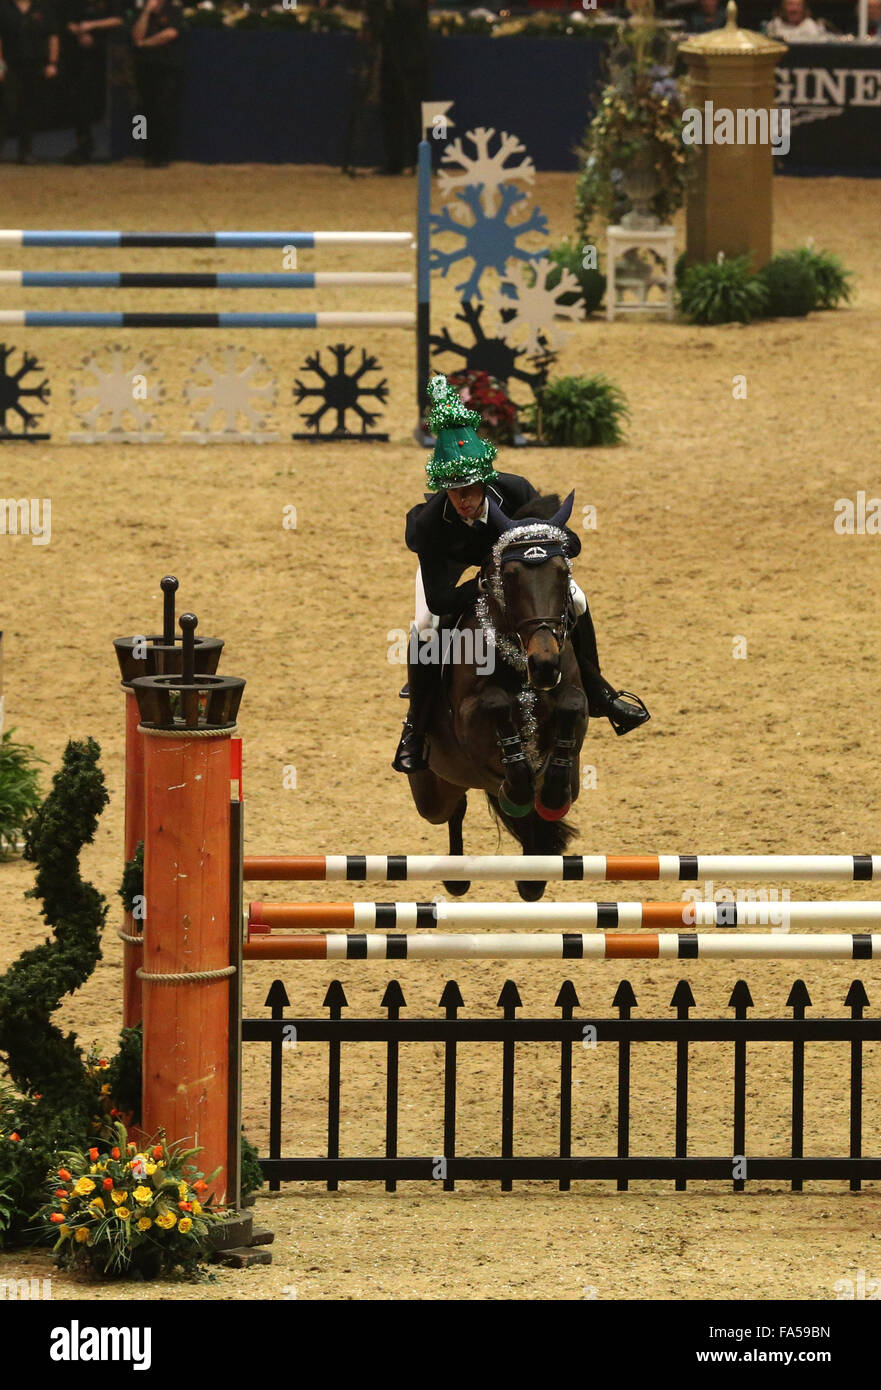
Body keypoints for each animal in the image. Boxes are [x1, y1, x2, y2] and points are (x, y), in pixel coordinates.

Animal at [405, 494, 586, 906]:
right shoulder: (468, 719)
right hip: (432, 791)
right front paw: (517, 785)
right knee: (454, 807)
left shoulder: (574, 699)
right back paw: (458, 877)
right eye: (511, 576)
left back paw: (532, 875)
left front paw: (550, 793)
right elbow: (495, 705)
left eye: (562, 573)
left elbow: (572, 705)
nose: (544, 664)